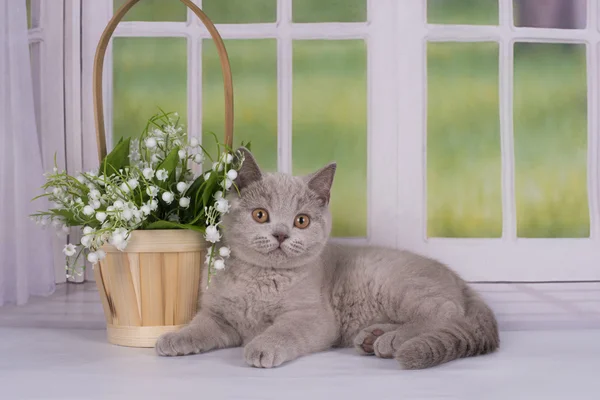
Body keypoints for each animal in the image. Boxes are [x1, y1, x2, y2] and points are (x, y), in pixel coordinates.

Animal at [155, 149, 496, 368]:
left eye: (301, 221)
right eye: (260, 214)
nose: (281, 234)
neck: (259, 280)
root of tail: (462, 283)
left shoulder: (312, 316)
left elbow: (283, 330)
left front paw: (263, 347)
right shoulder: (219, 316)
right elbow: (199, 327)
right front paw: (174, 339)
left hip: (398, 285)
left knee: (447, 312)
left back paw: (394, 340)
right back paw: (373, 336)